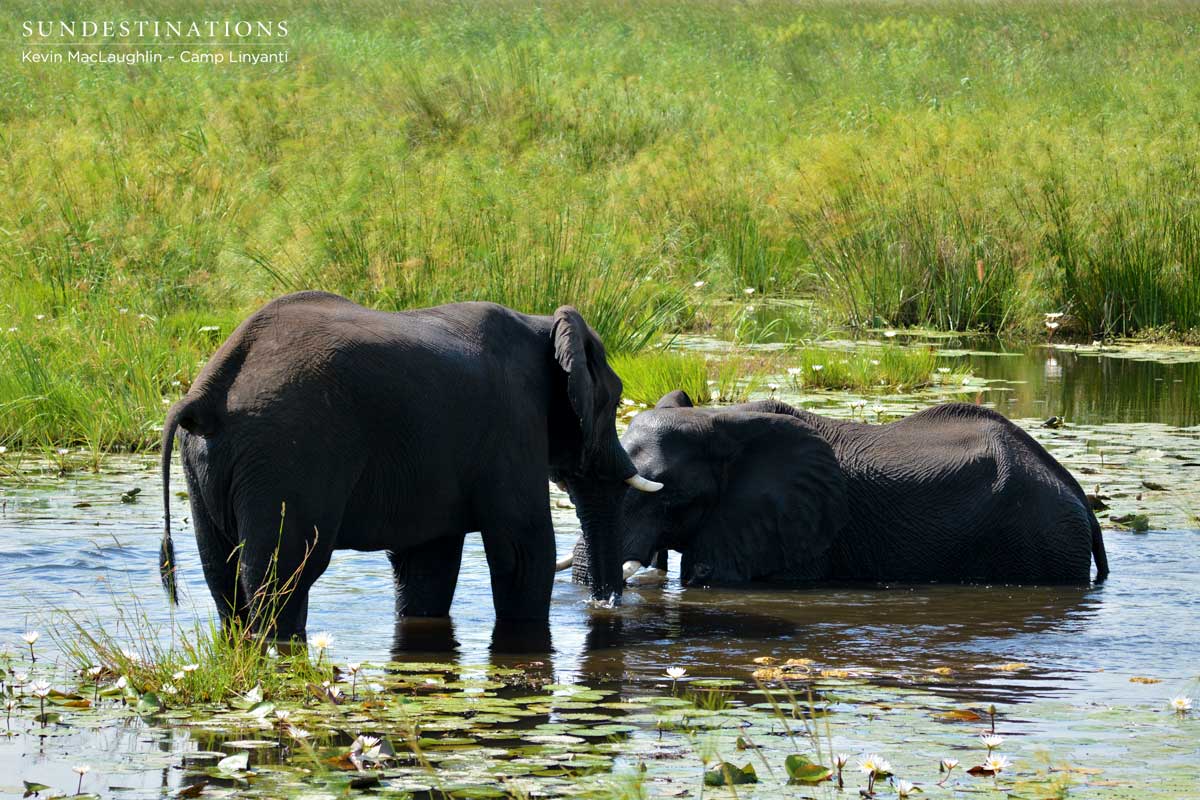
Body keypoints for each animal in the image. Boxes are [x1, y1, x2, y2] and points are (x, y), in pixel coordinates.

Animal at [158, 291, 663, 641]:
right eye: (613, 400)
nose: (605, 609)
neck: (541, 324)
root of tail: (208, 391)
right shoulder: (512, 425)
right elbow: (524, 548)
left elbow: (427, 560)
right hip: (286, 456)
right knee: (284, 576)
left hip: (209, 462)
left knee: (223, 576)